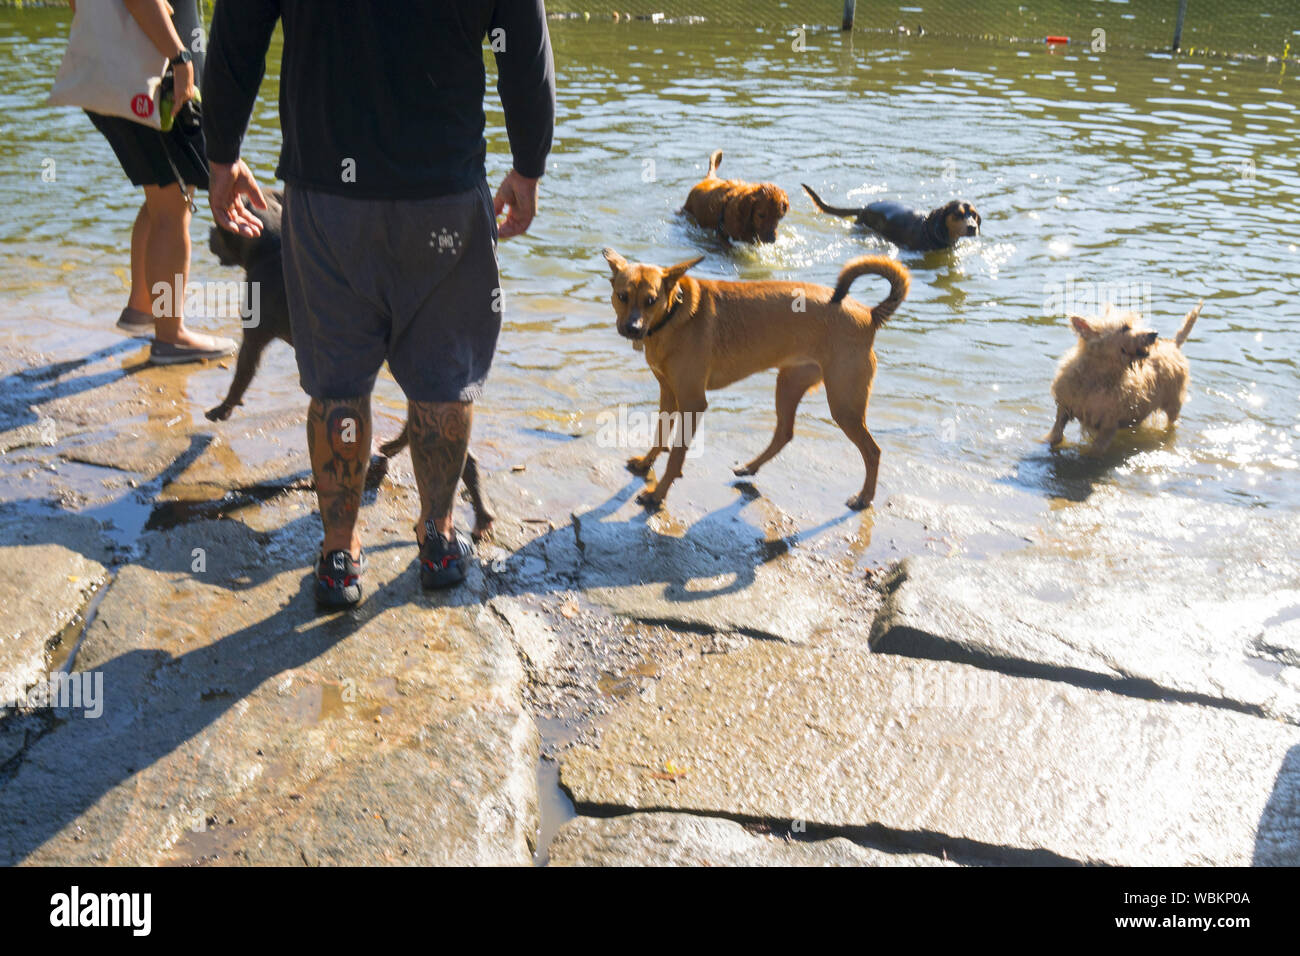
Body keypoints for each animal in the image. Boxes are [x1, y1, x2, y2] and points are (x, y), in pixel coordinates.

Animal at [603, 251, 909, 512]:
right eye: (622, 296)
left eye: (651, 300)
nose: (632, 328)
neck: (673, 313)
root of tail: (869, 314)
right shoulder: (668, 392)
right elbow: (660, 435)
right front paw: (646, 463)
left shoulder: (692, 401)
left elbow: (676, 455)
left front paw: (657, 495)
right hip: (788, 385)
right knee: (784, 432)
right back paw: (750, 467)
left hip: (844, 405)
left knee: (873, 451)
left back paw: (864, 497)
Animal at [1040, 300, 1201, 455]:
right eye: (1124, 327)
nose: (1154, 334)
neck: (1098, 376)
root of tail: (1174, 345)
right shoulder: (1064, 406)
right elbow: (1057, 432)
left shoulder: (1108, 424)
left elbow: (1095, 449)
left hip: (1173, 403)